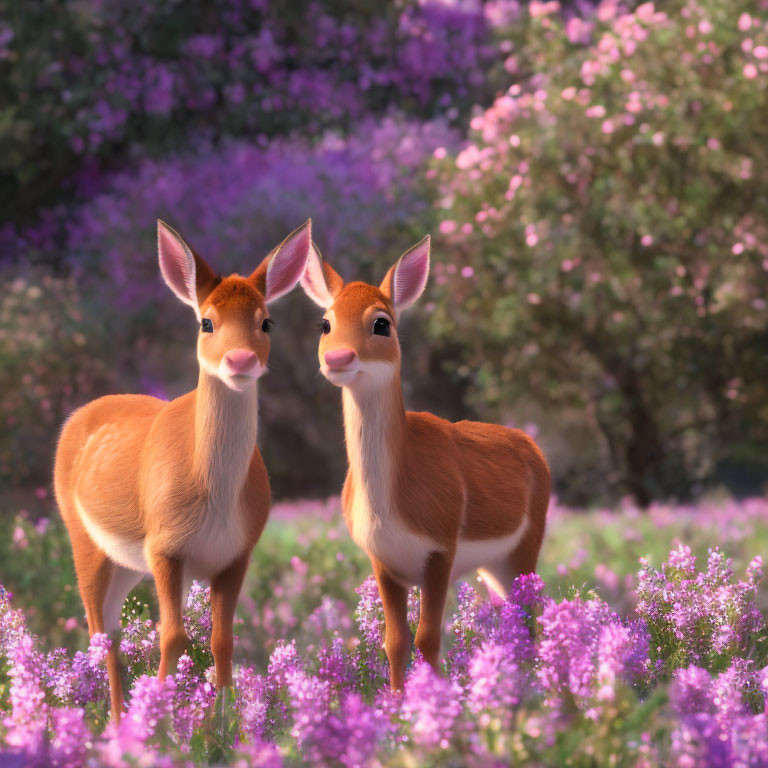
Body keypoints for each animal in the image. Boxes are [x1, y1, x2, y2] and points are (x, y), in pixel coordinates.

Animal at [300, 236, 552, 688]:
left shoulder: (440, 551)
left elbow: (429, 639)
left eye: (382, 322)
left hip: (525, 548)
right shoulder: (384, 562)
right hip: (493, 566)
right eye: (325, 323)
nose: (338, 358)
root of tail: (531, 445)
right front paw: (398, 702)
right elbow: (395, 642)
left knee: (531, 619)